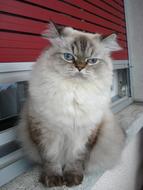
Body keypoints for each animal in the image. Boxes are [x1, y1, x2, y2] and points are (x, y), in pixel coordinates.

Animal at [18, 22, 125, 187]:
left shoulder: (85, 134)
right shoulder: (46, 132)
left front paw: (73, 179)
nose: (80, 67)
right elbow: (51, 159)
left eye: (92, 61)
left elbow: (76, 160)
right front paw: (53, 180)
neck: (74, 92)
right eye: (68, 57)